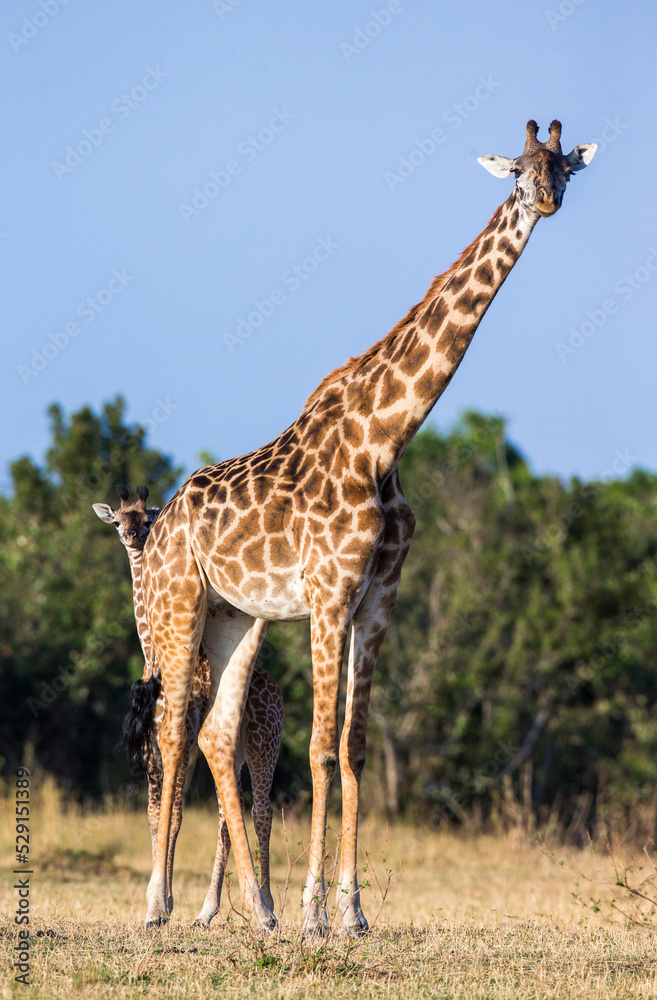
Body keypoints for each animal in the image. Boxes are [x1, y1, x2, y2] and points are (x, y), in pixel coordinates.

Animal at [92, 485, 284, 925]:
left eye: (147, 518)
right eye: (118, 520)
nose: (134, 537)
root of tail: (276, 691)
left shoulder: (178, 744)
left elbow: (174, 814)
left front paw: (162, 903)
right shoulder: (157, 748)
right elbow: (157, 814)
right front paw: (161, 900)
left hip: (266, 743)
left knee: (262, 810)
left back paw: (266, 903)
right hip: (238, 751)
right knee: (229, 814)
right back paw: (209, 910)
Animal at [139, 120, 597, 935]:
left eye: (563, 168)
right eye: (517, 170)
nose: (545, 200)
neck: (385, 438)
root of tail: (160, 522)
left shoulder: (379, 596)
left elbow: (352, 745)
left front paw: (349, 910)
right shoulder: (328, 593)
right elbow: (321, 747)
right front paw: (317, 910)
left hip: (236, 616)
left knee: (215, 733)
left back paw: (257, 908)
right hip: (177, 605)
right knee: (170, 729)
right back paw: (160, 905)